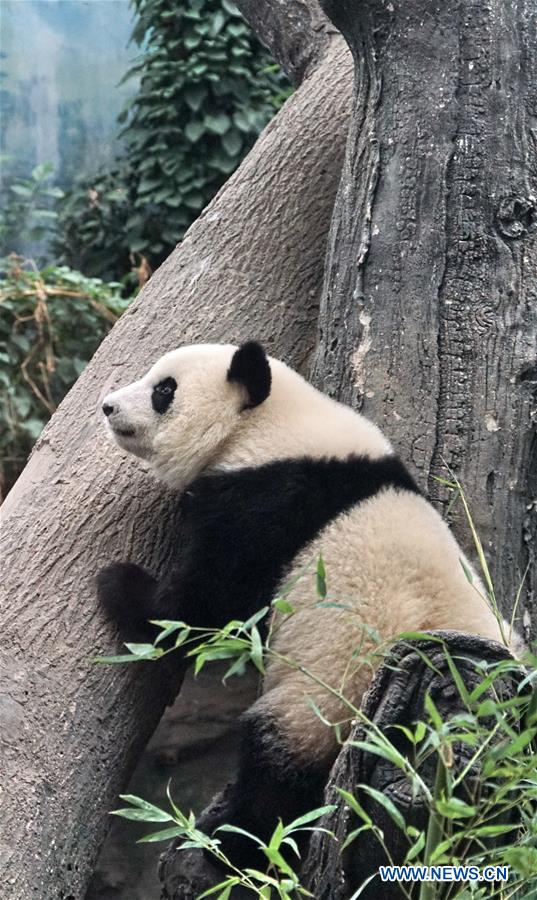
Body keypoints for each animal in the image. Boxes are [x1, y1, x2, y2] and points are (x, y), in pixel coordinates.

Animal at [97, 341, 516, 868]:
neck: (266, 427)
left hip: (330, 695)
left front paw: (119, 583)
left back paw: (236, 843)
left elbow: (206, 608)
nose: (107, 406)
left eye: (164, 390)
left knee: (279, 766)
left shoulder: (267, 507)